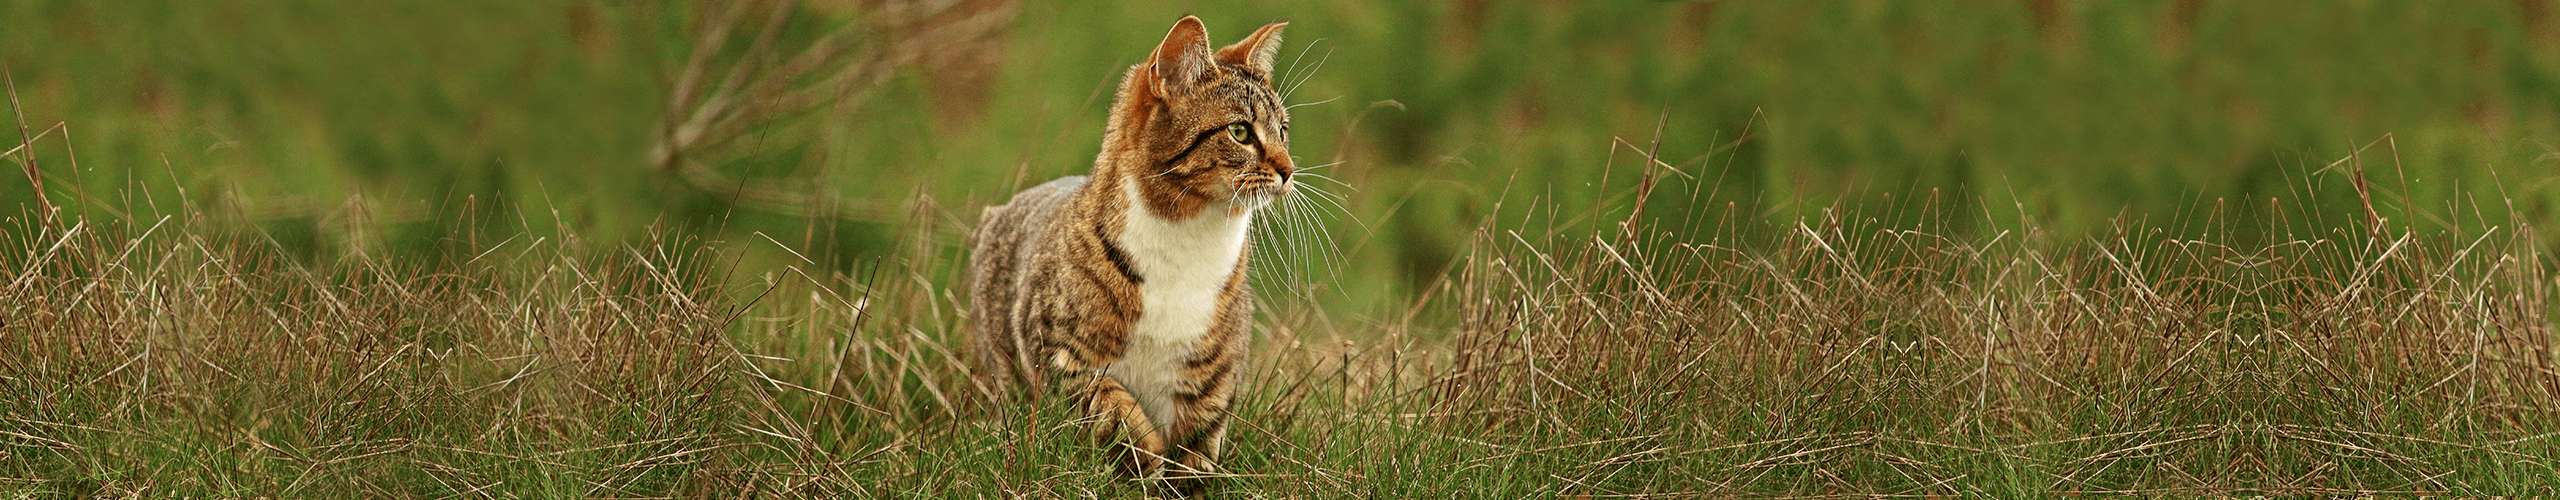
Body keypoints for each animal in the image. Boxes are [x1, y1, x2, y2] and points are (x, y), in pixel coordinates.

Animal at [967, 16, 1300, 487]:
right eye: (1240, 132)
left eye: (1283, 130)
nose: (1289, 170)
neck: (1189, 238)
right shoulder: (1062, 354)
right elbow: (1112, 410)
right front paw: (1143, 459)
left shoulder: (1213, 375)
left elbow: (1197, 446)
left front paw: (1180, 480)